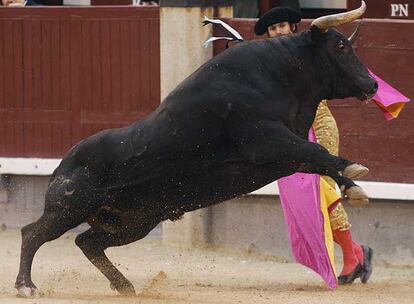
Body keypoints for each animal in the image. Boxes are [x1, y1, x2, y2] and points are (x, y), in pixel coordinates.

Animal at [16, 26, 378, 296]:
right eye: (341, 48)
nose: (372, 84)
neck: (279, 75)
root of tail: (64, 163)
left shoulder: (284, 155)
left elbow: (316, 160)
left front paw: (353, 185)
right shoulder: (268, 140)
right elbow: (317, 154)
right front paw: (353, 172)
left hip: (133, 222)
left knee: (86, 241)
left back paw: (125, 286)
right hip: (70, 207)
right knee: (32, 233)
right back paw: (26, 286)